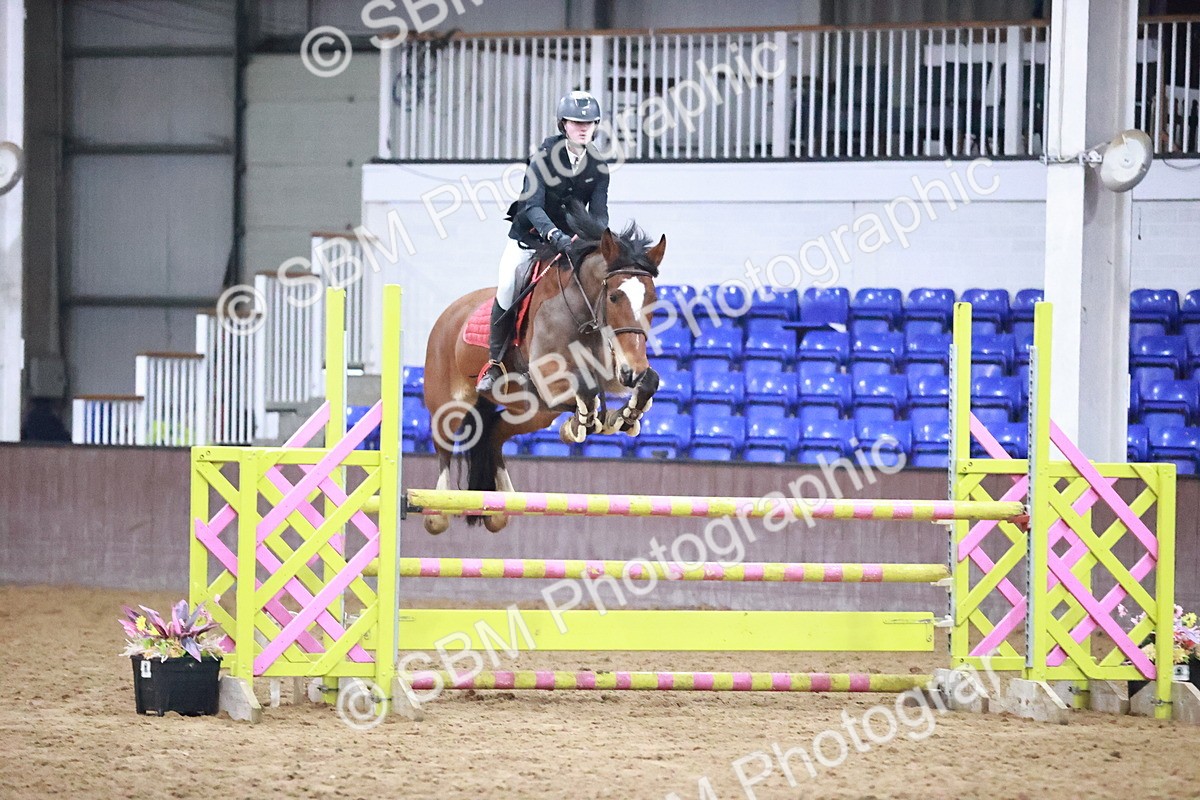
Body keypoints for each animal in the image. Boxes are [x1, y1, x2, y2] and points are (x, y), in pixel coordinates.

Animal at [421, 211, 665, 534]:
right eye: (614, 297)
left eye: (651, 298)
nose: (632, 372)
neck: (581, 313)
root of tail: (450, 312)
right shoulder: (549, 378)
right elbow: (585, 390)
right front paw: (587, 421)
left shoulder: (614, 372)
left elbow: (647, 382)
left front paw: (621, 417)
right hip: (449, 402)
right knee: (444, 445)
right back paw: (437, 513)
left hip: (532, 412)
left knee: (495, 431)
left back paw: (500, 509)